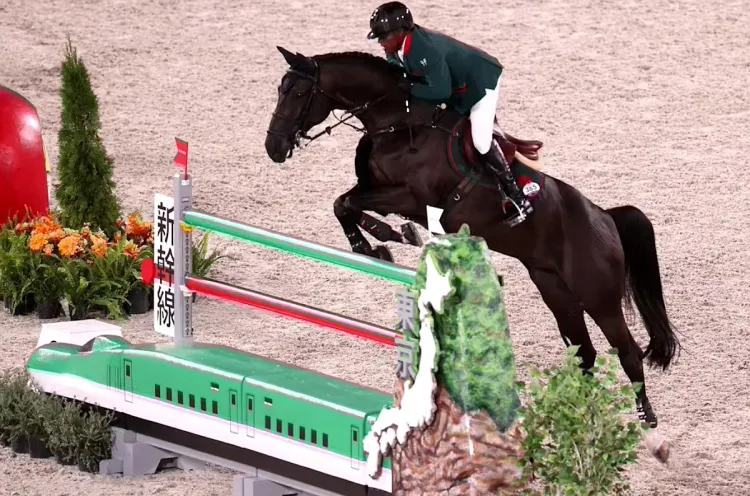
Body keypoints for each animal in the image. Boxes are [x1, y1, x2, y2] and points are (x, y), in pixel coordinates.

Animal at [264, 46, 680, 436]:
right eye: (280, 89)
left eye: (298, 92)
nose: (274, 147)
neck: (397, 122)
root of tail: (606, 217)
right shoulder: (378, 190)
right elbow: (343, 204)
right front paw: (378, 243)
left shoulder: (410, 198)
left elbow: (351, 204)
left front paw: (383, 240)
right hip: (554, 289)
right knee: (585, 353)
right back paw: (577, 409)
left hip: (598, 296)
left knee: (626, 350)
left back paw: (646, 418)